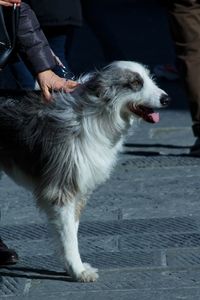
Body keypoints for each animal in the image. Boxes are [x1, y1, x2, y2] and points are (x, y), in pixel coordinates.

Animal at [0, 60, 170, 282]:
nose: (167, 99)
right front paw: (78, 270)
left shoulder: (79, 189)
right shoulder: (62, 189)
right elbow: (69, 235)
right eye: (135, 83)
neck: (96, 115)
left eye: (150, 78)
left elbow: (71, 228)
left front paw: (70, 267)